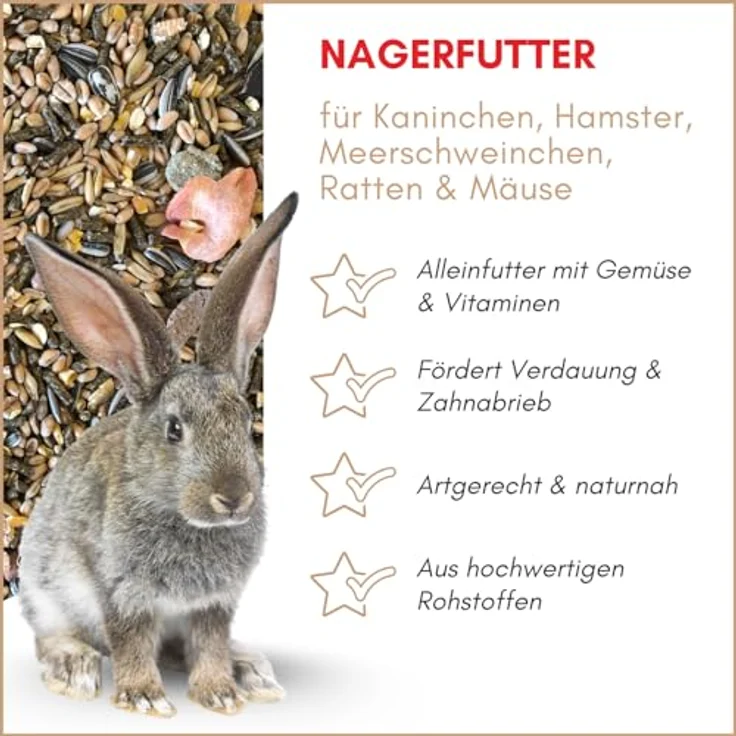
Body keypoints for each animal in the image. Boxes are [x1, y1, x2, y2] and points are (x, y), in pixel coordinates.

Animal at [18, 192, 298, 717]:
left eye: (245, 423)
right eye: (174, 430)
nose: (233, 497)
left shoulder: (214, 603)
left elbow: (209, 644)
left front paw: (220, 694)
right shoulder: (122, 593)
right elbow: (130, 642)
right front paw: (145, 699)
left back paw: (249, 672)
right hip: (46, 591)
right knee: (51, 637)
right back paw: (73, 667)